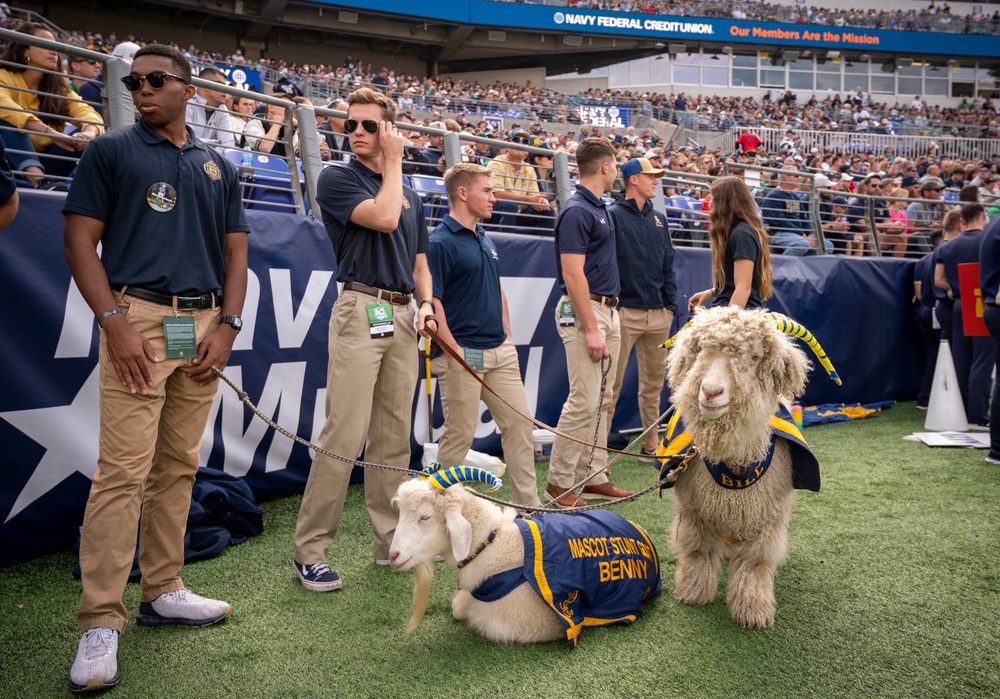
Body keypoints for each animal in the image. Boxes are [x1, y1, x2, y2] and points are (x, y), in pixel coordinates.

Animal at [652, 306, 824, 628]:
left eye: (754, 357)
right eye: (701, 351)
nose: (710, 392)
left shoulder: (764, 518)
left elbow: (754, 563)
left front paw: (753, 610)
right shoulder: (695, 510)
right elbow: (698, 551)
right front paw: (692, 592)